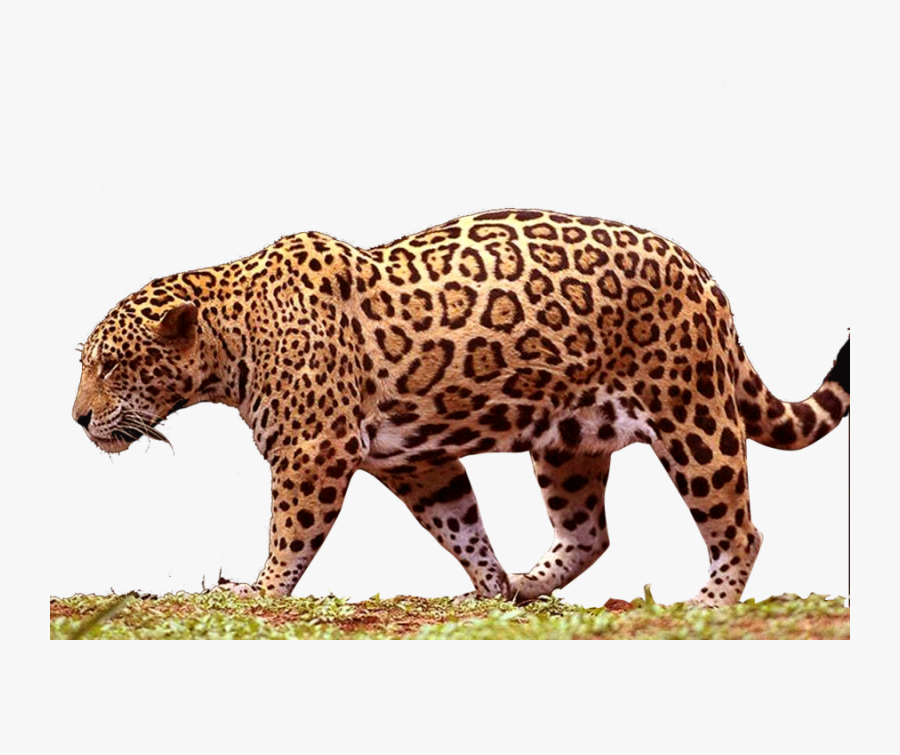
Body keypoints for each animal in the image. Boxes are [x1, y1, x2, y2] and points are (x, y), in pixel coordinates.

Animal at [72, 209, 850, 606]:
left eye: (110, 365)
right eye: (86, 364)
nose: (77, 419)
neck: (233, 336)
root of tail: (707, 276)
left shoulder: (313, 452)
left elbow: (290, 532)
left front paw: (259, 591)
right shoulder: (415, 463)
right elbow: (460, 523)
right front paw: (490, 585)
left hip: (692, 413)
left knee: (739, 526)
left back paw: (709, 604)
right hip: (568, 440)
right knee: (588, 532)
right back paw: (529, 582)